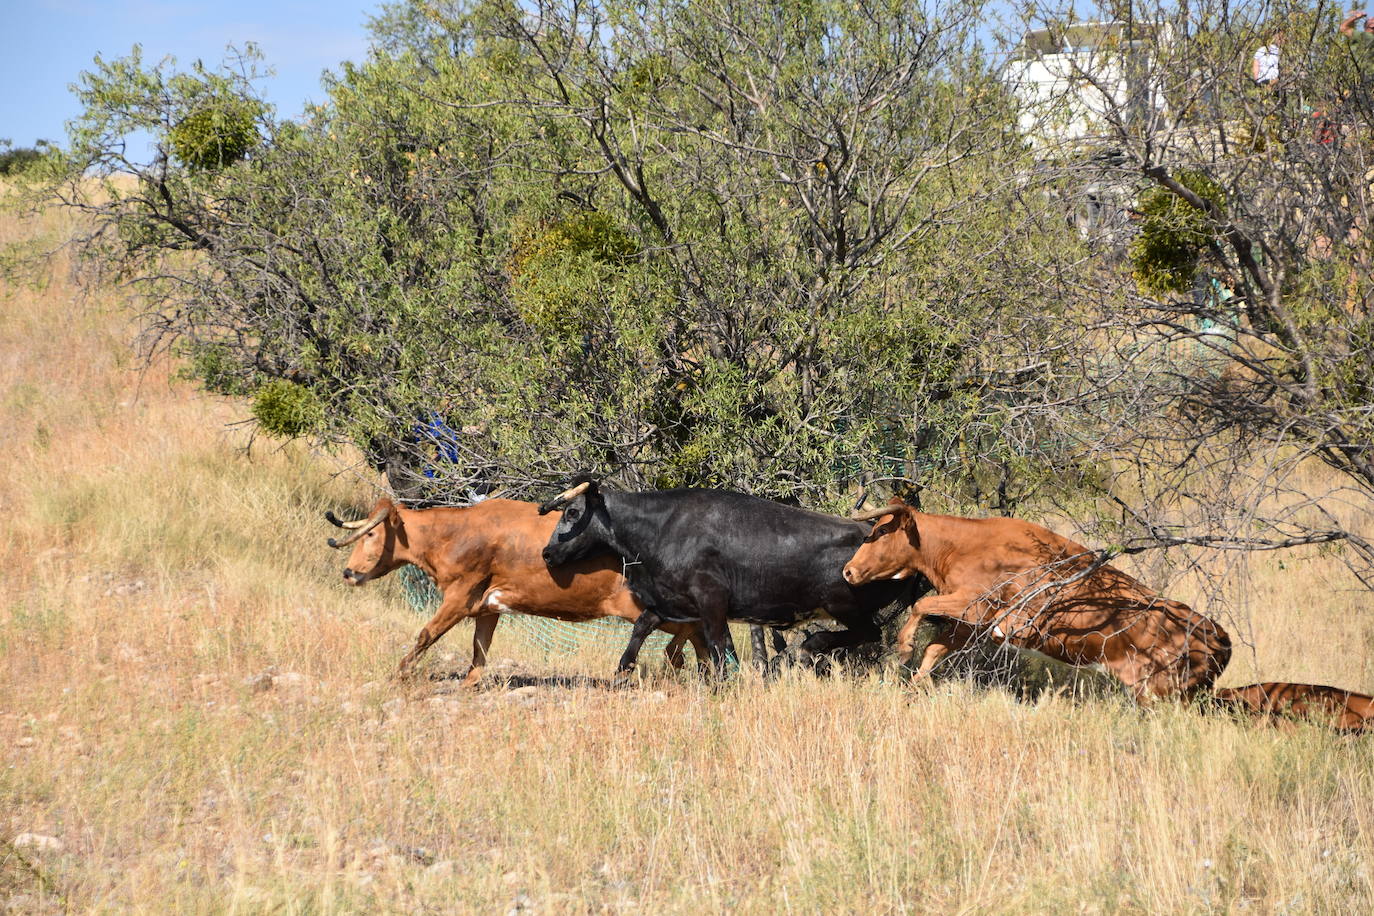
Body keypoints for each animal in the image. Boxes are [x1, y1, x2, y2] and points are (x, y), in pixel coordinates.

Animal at [327, 497, 703, 683]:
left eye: (371, 534)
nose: (348, 572)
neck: (453, 533)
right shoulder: (487, 607)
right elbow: (479, 653)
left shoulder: (459, 598)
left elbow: (425, 635)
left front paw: (400, 672)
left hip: (642, 607)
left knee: (690, 627)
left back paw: (677, 659)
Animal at [538, 480, 923, 672]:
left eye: (572, 512)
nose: (546, 553)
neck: (662, 527)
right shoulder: (673, 602)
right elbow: (642, 626)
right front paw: (623, 668)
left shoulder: (711, 602)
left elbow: (720, 650)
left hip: (844, 604)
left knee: (867, 632)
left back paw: (809, 646)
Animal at [840, 502, 1231, 703]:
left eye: (880, 532)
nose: (848, 571)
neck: (961, 546)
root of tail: (1219, 637)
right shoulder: (973, 625)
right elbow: (936, 647)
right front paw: (915, 683)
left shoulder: (976, 606)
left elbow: (921, 608)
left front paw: (904, 648)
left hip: (1158, 692)